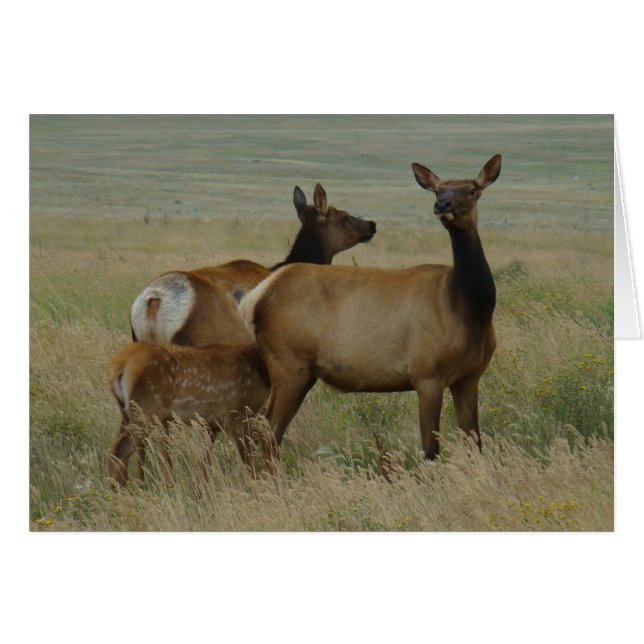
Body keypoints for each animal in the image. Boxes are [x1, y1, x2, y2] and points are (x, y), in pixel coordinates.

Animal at [240, 155, 502, 464]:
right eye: (438, 190)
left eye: (473, 190)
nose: (443, 205)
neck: (469, 309)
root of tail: (255, 297)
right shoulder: (426, 373)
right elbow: (430, 449)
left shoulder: (469, 377)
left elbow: (475, 443)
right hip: (288, 361)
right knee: (266, 429)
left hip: (301, 370)